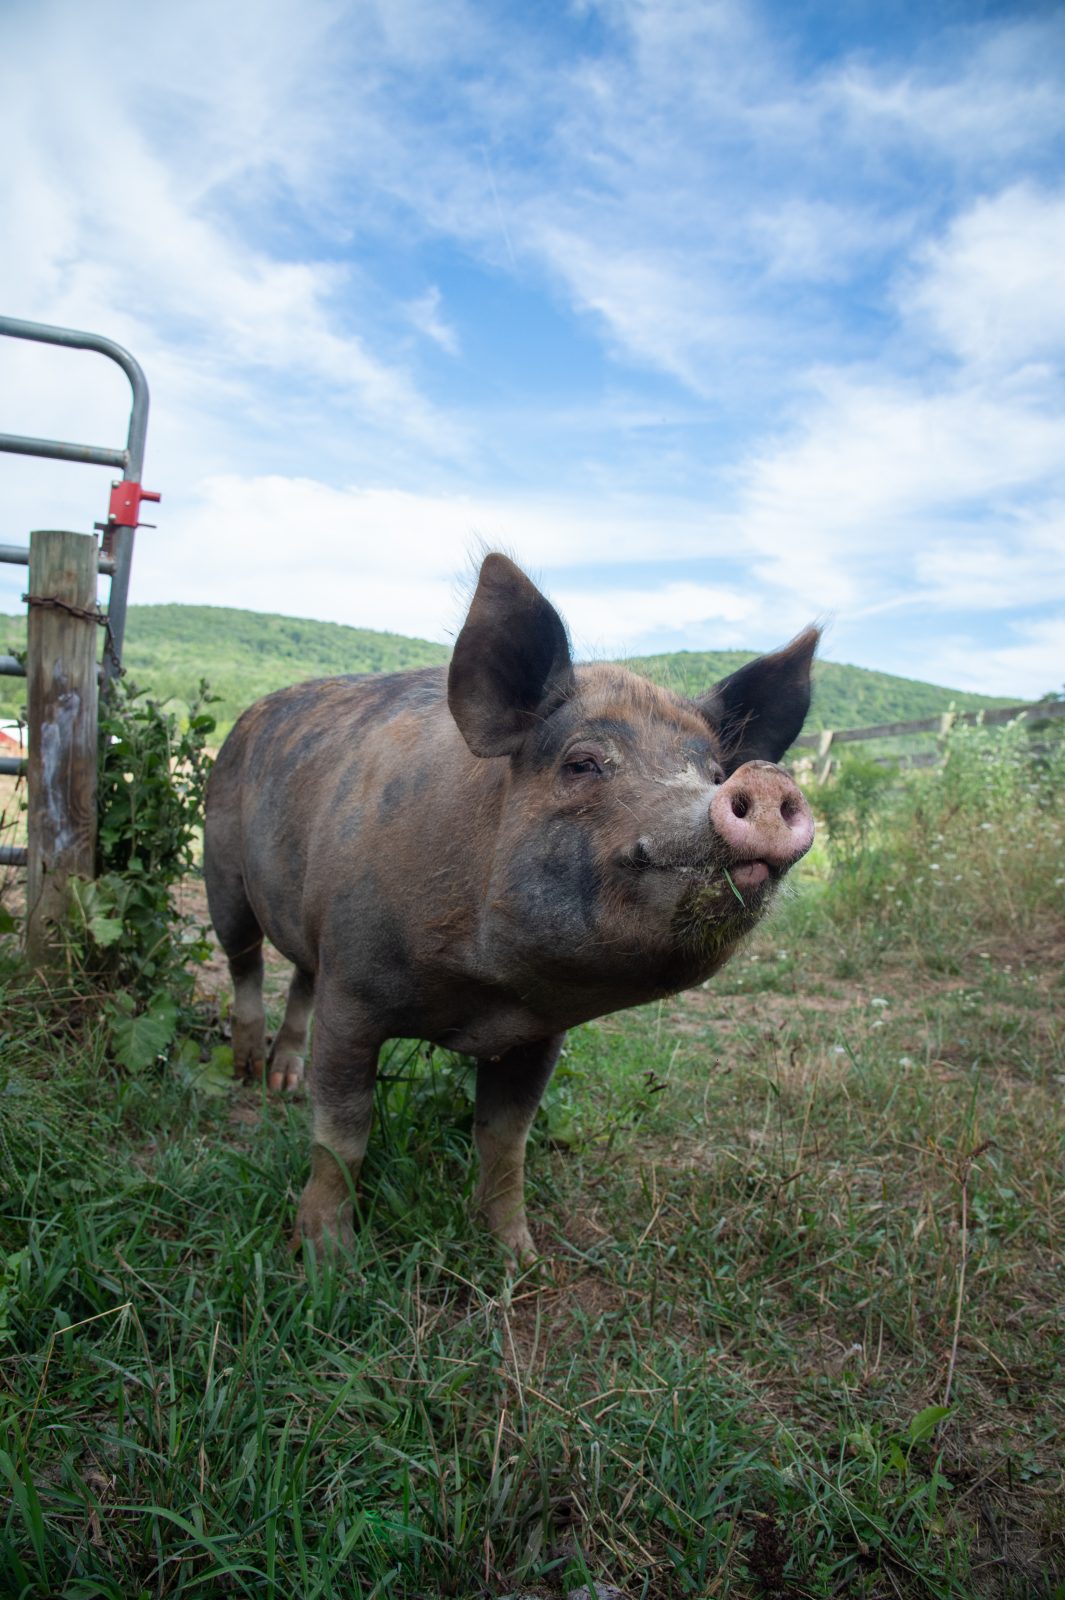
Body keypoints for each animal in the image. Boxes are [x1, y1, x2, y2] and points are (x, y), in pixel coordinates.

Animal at [203, 556, 815, 1267]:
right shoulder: (351, 991)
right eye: (582, 763)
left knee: (300, 972)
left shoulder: (538, 1034)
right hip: (221, 869)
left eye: (714, 772)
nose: (765, 781)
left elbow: (505, 1140)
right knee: (245, 962)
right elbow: (342, 1134)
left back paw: (282, 1082)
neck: (482, 995)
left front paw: (519, 1259)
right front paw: (330, 1262)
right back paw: (249, 1076)